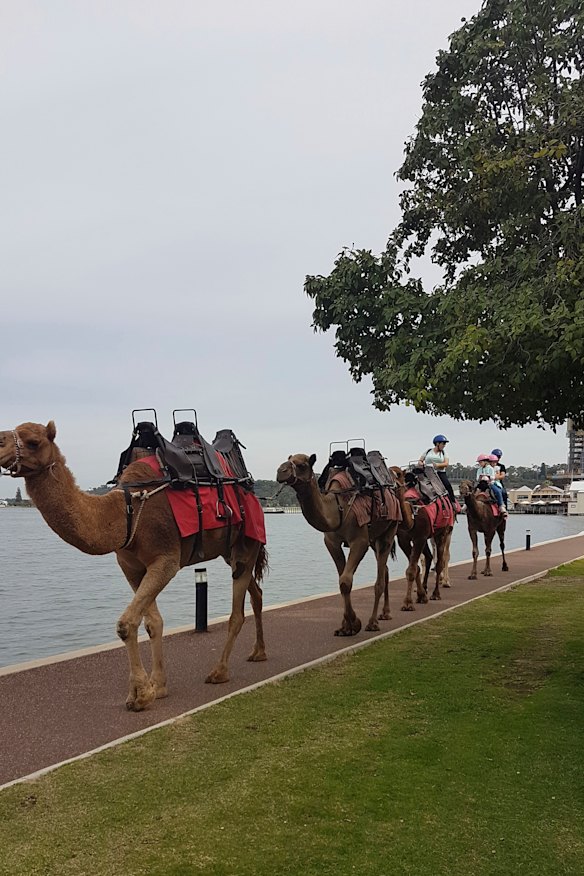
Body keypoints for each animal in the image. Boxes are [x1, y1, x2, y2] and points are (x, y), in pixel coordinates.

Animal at [0, 422, 268, 711]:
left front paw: (139, 694)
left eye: (34, 441)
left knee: (237, 612)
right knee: (256, 593)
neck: (125, 511)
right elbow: (153, 623)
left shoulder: (166, 559)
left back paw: (219, 671)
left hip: (247, 543)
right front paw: (157, 686)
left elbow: (126, 623)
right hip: (230, 552)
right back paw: (259, 652)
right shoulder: (131, 567)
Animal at [276, 453, 401, 635]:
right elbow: (343, 580)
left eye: (302, 465)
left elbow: (345, 581)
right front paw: (346, 626)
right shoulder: (332, 542)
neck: (337, 508)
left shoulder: (359, 541)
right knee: (384, 570)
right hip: (374, 538)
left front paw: (354, 623)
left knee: (379, 579)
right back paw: (385, 613)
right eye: (289, 459)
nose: (281, 471)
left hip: (390, 530)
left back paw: (373, 623)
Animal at [391, 467, 454, 609]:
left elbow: (412, 569)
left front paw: (408, 603)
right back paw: (425, 589)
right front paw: (420, 596)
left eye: (399, 474)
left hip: (443, 532)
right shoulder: (404, 540)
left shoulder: (419, 538)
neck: (411, 518)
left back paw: (436, 593)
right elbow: (414, 568)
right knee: (429, 557)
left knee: (440, 561)